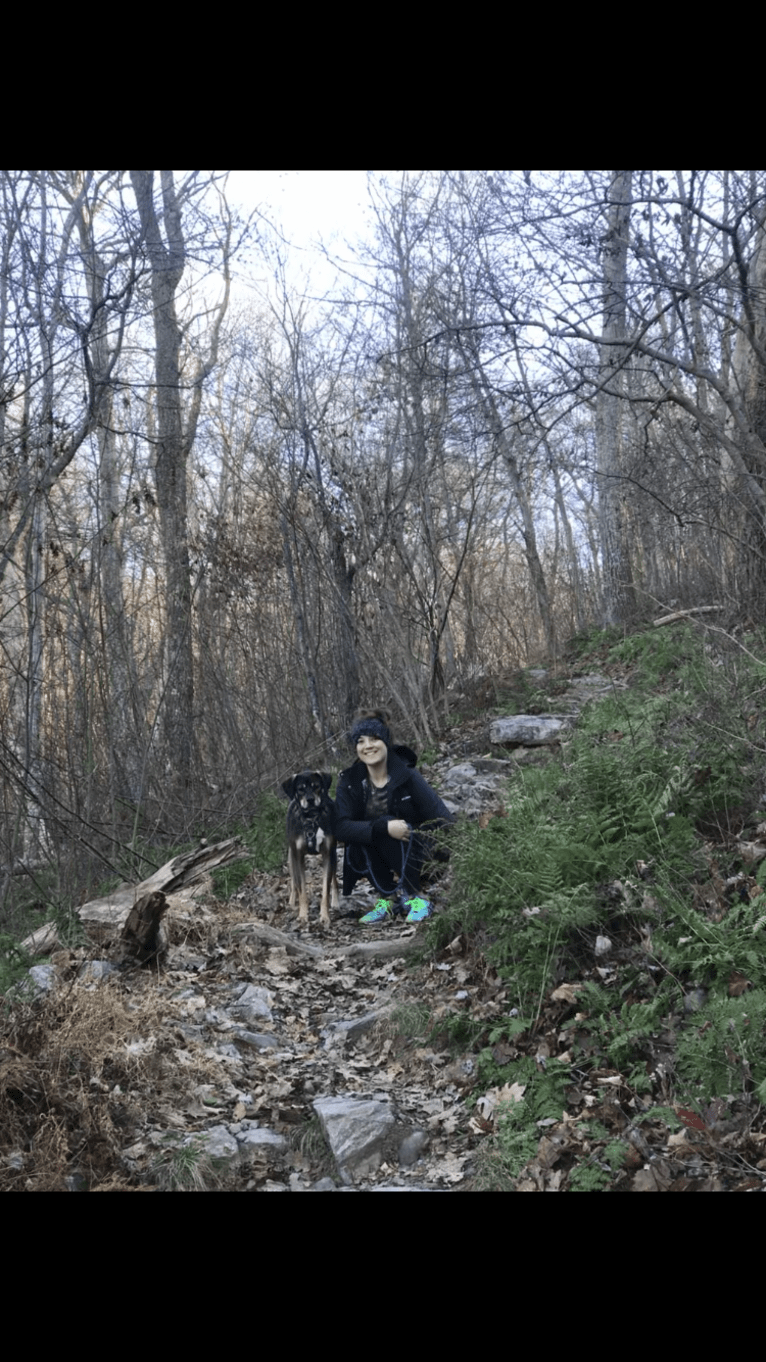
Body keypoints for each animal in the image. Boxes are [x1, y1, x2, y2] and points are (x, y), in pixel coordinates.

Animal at [280, 768, 336, 926]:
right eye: (300, 789)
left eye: (316, 786)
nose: (310, 800)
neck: (311, 818)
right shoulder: (298, 855)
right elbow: (301, 889)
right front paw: (303, 915)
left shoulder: (328, 853)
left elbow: (326, 889)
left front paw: (325, 916)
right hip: (290, 858)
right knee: (293, 882)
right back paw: (292, 902)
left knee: (335, 880)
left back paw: (336, 902)